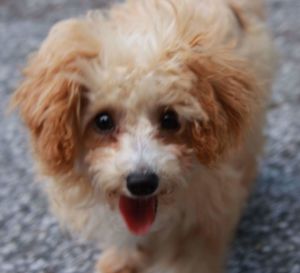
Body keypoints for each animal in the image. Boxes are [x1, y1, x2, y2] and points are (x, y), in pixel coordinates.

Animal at [12, 0, 276, 270]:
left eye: (170, 119)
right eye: (103, 121)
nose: (141, 183)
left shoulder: (207, 209)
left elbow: (191, 256)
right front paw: (120, 262)